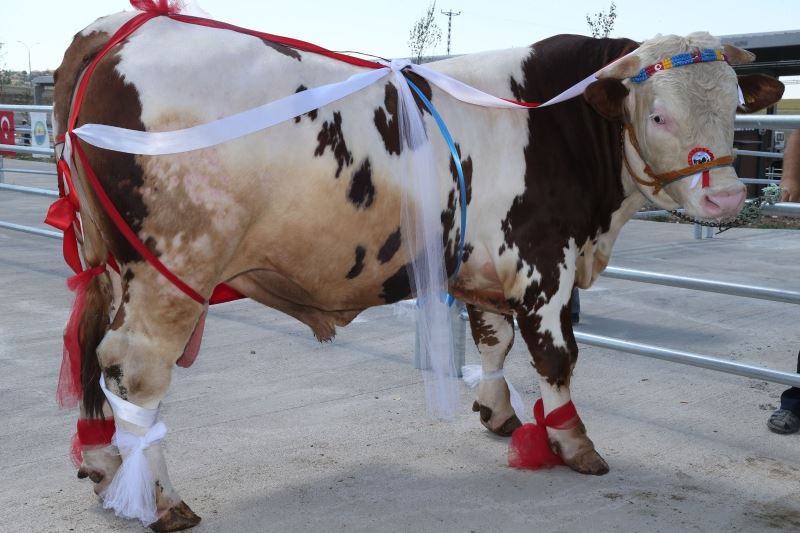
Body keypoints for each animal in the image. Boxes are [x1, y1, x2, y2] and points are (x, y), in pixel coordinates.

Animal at [53, 6, 784, 528]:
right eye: (658, 114)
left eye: (735, 107)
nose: (726, 197)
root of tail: (114, 30)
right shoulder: (545, 259)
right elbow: (556, 355)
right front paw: (575, 443)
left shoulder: (489, 262)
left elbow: (494, 338)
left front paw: (499, 413)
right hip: (170, 270)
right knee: (134, 373)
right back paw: (160, 499)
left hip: (108, 263)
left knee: (89, 348)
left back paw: (105, 466)